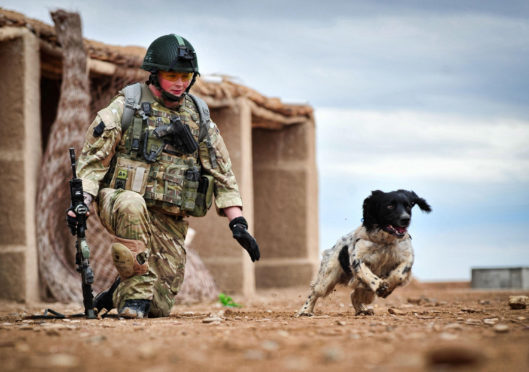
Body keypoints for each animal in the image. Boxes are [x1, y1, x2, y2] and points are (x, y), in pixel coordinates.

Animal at [294, 190, 432, 316]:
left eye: (408, 206)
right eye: (390, 205)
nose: (405, 219)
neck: (385, 242)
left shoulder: (407, 257)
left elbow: (399, 274)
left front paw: (387, 287)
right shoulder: (357, 258)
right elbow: (366, 273)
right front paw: (380, 285)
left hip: (363, 290)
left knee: (354, 295)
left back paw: (362, 310)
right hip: (327, 278)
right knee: (314, 293)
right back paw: (305, 311)